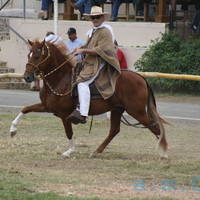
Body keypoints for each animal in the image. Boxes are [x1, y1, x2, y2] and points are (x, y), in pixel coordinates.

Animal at [9, 38, 169, 158]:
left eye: (37, 56)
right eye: (28, 55)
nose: (27, 77)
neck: (60, 79)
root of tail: (141, 78)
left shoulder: (64, 113)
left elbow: (68, 132)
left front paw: (69, 151)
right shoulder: (46, 107)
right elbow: (26, 109)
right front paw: (13, 129)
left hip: (136, 111)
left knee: (155, 127)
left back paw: (164, 153)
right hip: (117, 109)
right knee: (114, 130)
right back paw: (96, 151)